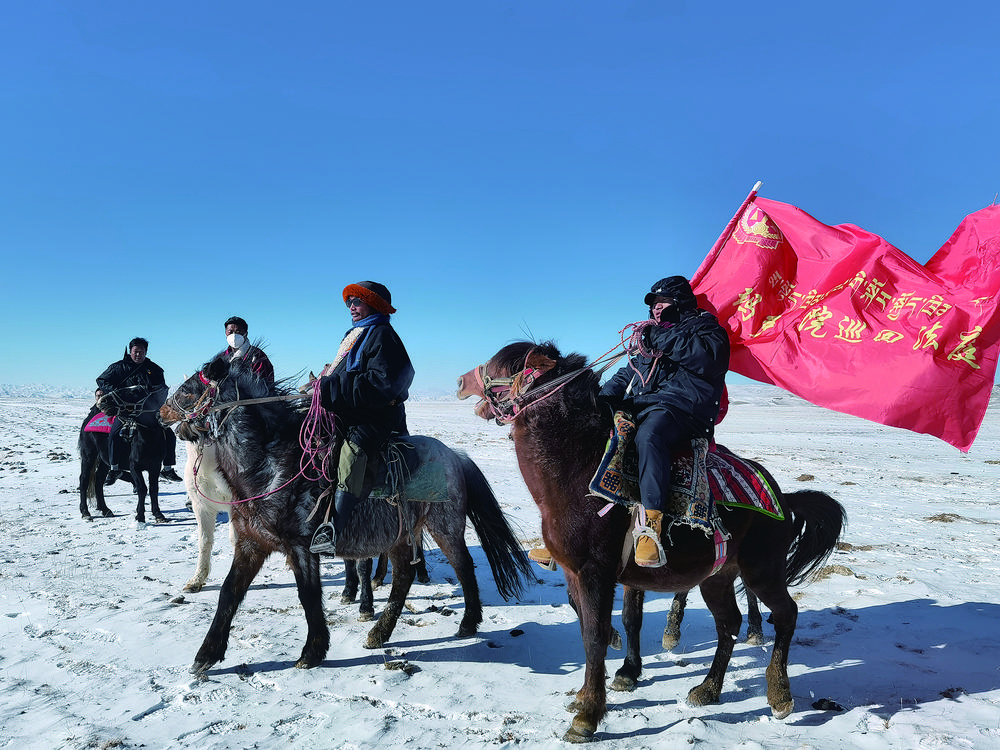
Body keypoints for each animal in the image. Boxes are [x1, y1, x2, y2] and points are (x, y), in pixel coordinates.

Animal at [78, 387, 168, 523]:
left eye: (133, 392)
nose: (103, 400)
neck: (148, 438)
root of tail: (88, 420)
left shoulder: (155, 467)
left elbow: (153, 489)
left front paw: (158, 514)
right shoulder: (134, 467)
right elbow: (142, 488)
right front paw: (140, 516)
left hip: (105, 461)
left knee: (98, 480)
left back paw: (105, 510)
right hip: (88, 456)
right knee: (84, 480)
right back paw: (85, 512)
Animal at [160, 353, 533, 675]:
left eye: (187, 389)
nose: (162, 411)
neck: (269, 463)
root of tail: (455, 455)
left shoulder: (302, 547)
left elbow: (309, 596)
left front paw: (312, 652)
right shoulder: (252, 544)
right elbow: (229, 593)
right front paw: (206, 655)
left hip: (445, 526)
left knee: (463, 567)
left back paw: (467, 623)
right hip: (400, 534)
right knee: (403, 577)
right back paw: (380, 633)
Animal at [457, 341, 845, 742]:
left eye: (501, 364)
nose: (460, 382)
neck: (575, 471)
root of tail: (783, 499)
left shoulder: (596, 573)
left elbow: (595, 636)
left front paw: (587, 716)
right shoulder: (575, 572)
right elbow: (598, 623)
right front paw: (593, 690)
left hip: (762, 571)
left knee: (785, 614)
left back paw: (779, 695)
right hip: (717, 577)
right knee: (729, 624)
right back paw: (707, 689)